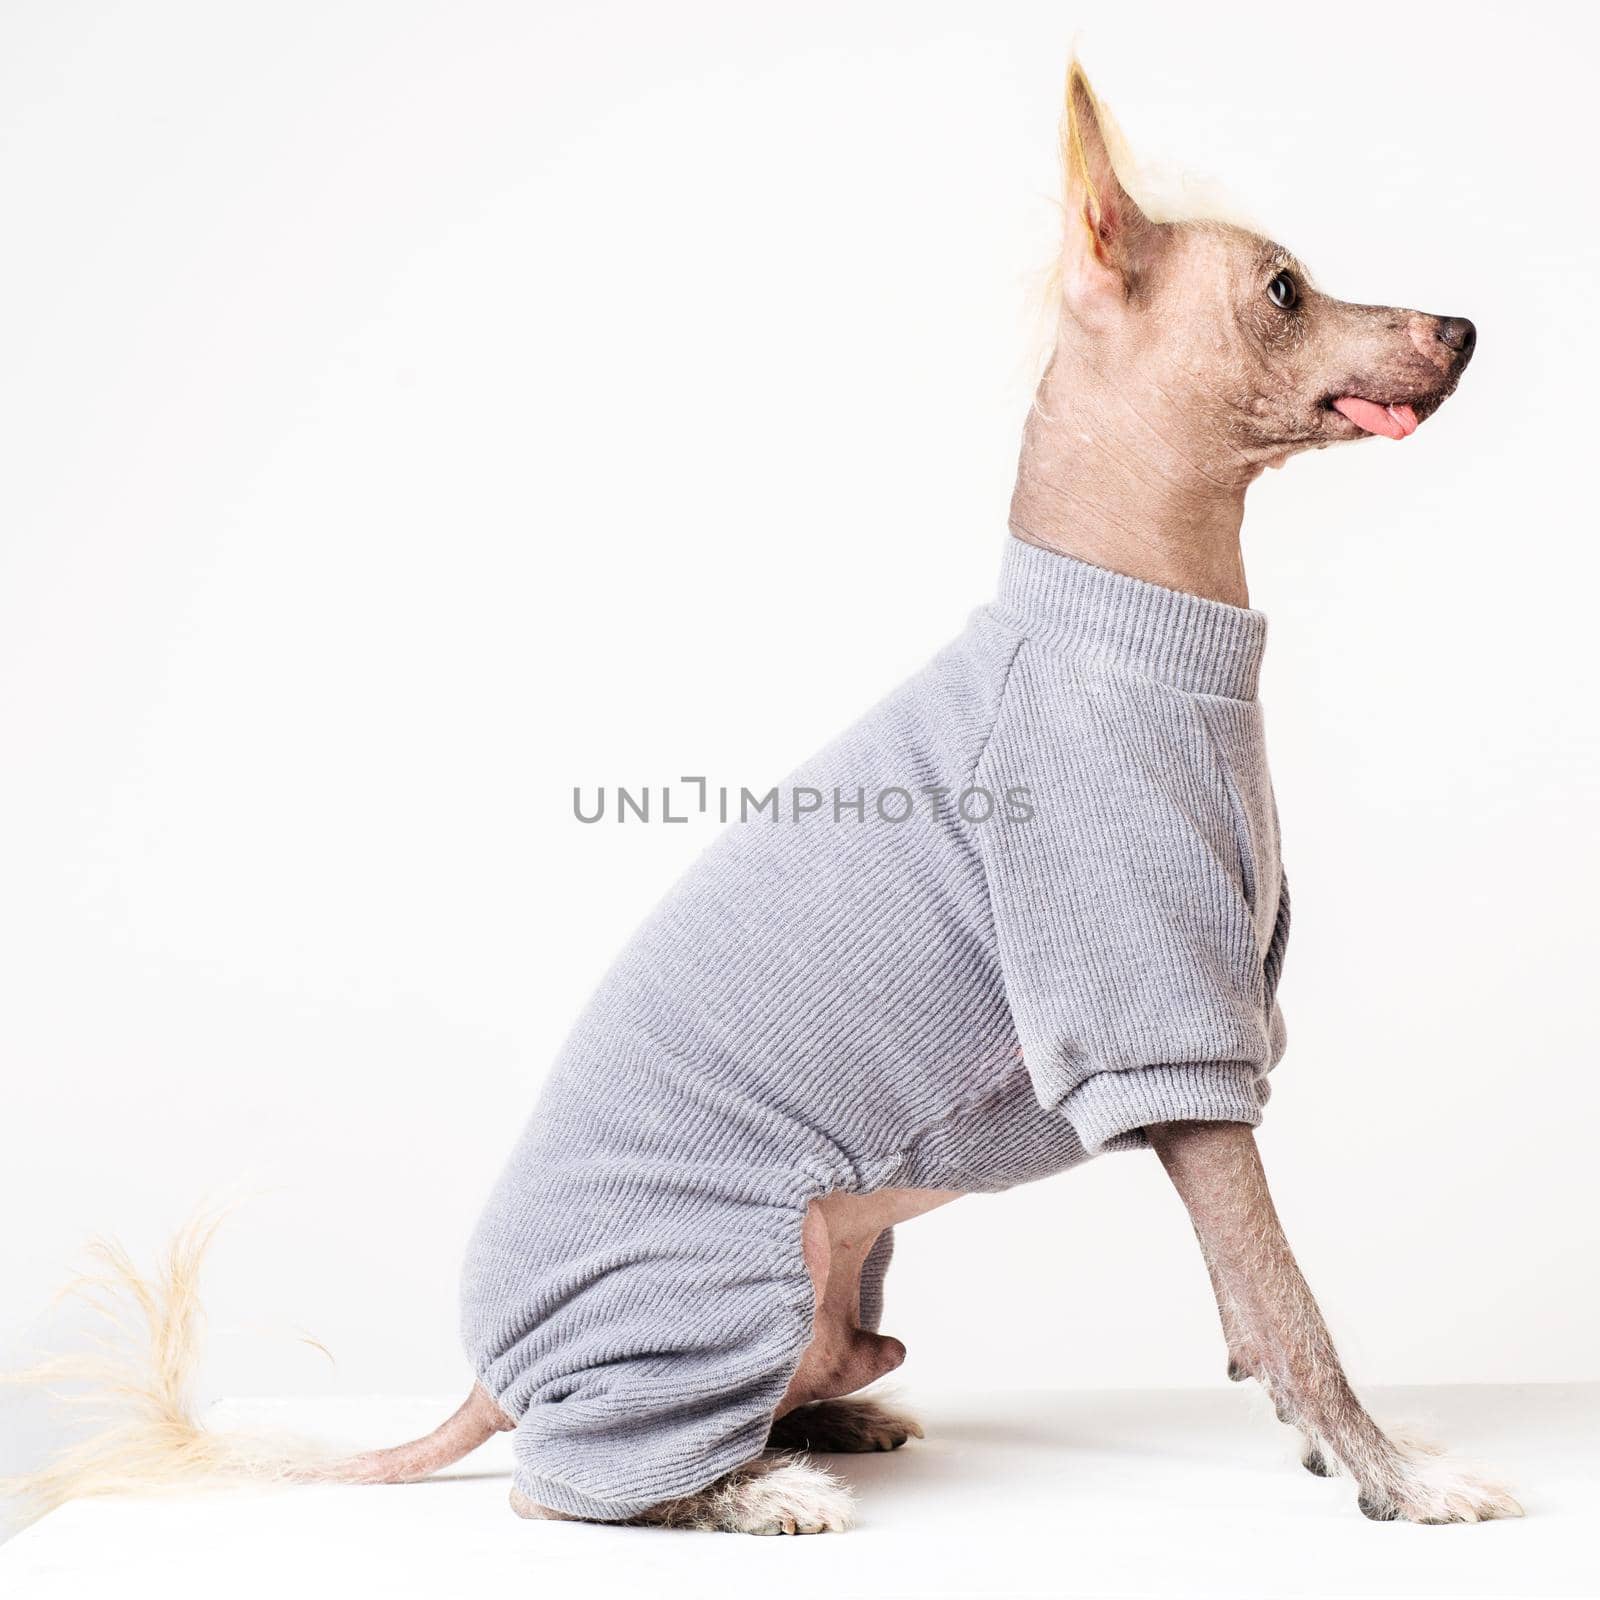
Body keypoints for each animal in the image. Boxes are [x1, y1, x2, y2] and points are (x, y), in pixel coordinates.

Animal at [9, 62, 1510, 1536]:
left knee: (790, 1382)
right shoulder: (1166, 1044)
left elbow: (1253, 1305)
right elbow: (1283, 1296)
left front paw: (1331, 1452)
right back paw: (752, 1488)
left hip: (842, 1282)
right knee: (566, 1486)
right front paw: (1396, 1474)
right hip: (724, 1291)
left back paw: (828, 1425)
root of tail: (490, 1377)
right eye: (1285, 291)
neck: (1123, 624)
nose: (1464, 325)